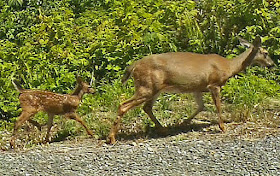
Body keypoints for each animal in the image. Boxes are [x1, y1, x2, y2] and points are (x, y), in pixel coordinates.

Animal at [107, 36, 276, 144]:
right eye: (266, 53)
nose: (272, 64)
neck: (229, 67)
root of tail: (133, 66)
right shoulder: (214, 84)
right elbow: (218, 106)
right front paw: (222, 127)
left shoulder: (198, 87)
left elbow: (201, 106)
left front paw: (184, 122)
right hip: (147, 86)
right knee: (123, 105)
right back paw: (112, 138)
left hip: (154, 88)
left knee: (146, 107)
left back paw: (163, 130)